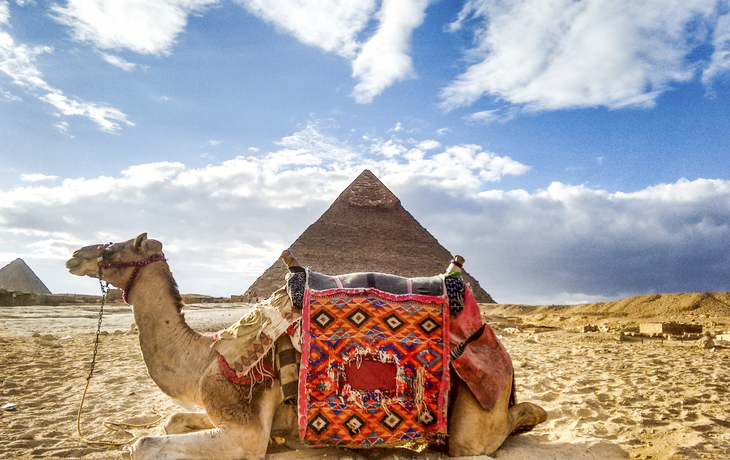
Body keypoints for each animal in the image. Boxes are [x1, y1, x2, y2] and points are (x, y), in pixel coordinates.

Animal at [66, 233, 547, 460]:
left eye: (118, 246)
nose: (74, 255)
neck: (205, 356)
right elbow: (168, 421)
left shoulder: (244, 431)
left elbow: (142, 444)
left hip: (475, 410)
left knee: (485, 435)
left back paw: (533, 416)